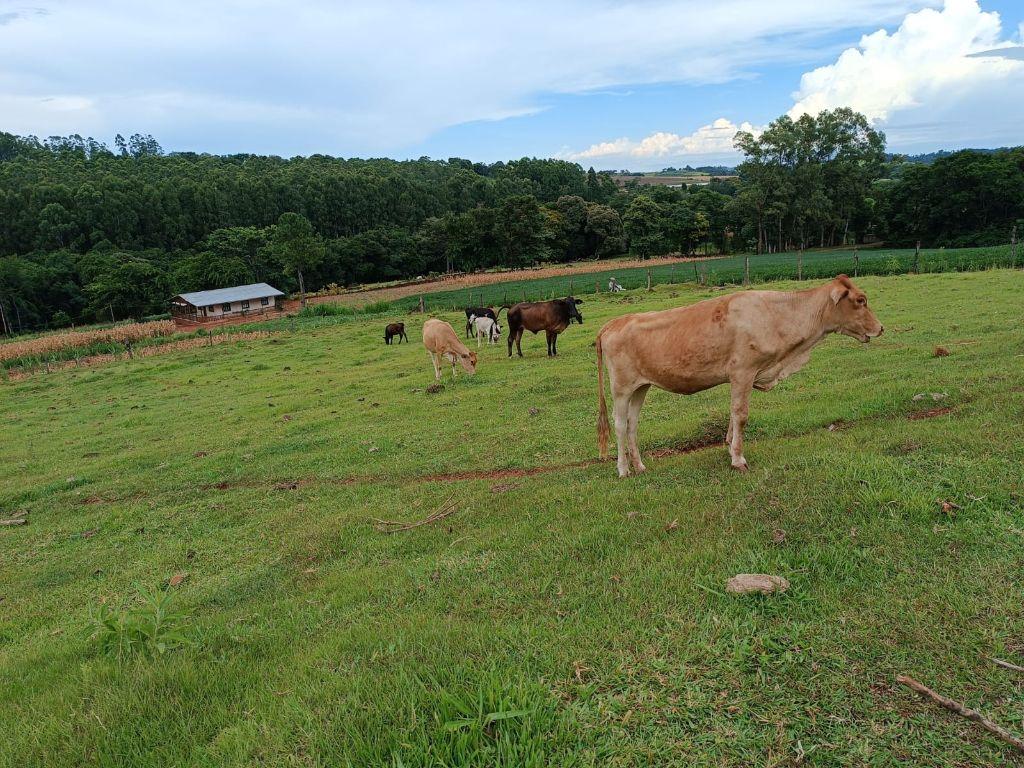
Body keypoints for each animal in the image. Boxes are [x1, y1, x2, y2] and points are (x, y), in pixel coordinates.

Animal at [598, 276, 884, 479]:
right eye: (861, 300)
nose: (881, 328)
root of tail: (613, 323)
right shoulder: (743, 372)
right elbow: (741, 414)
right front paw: (738, 459)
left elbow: (733, 415)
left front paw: (729, 447)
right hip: (621, 387)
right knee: (620, 424)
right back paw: (623, 469)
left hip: (641, 386)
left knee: (633, 423)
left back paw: (640, 466)